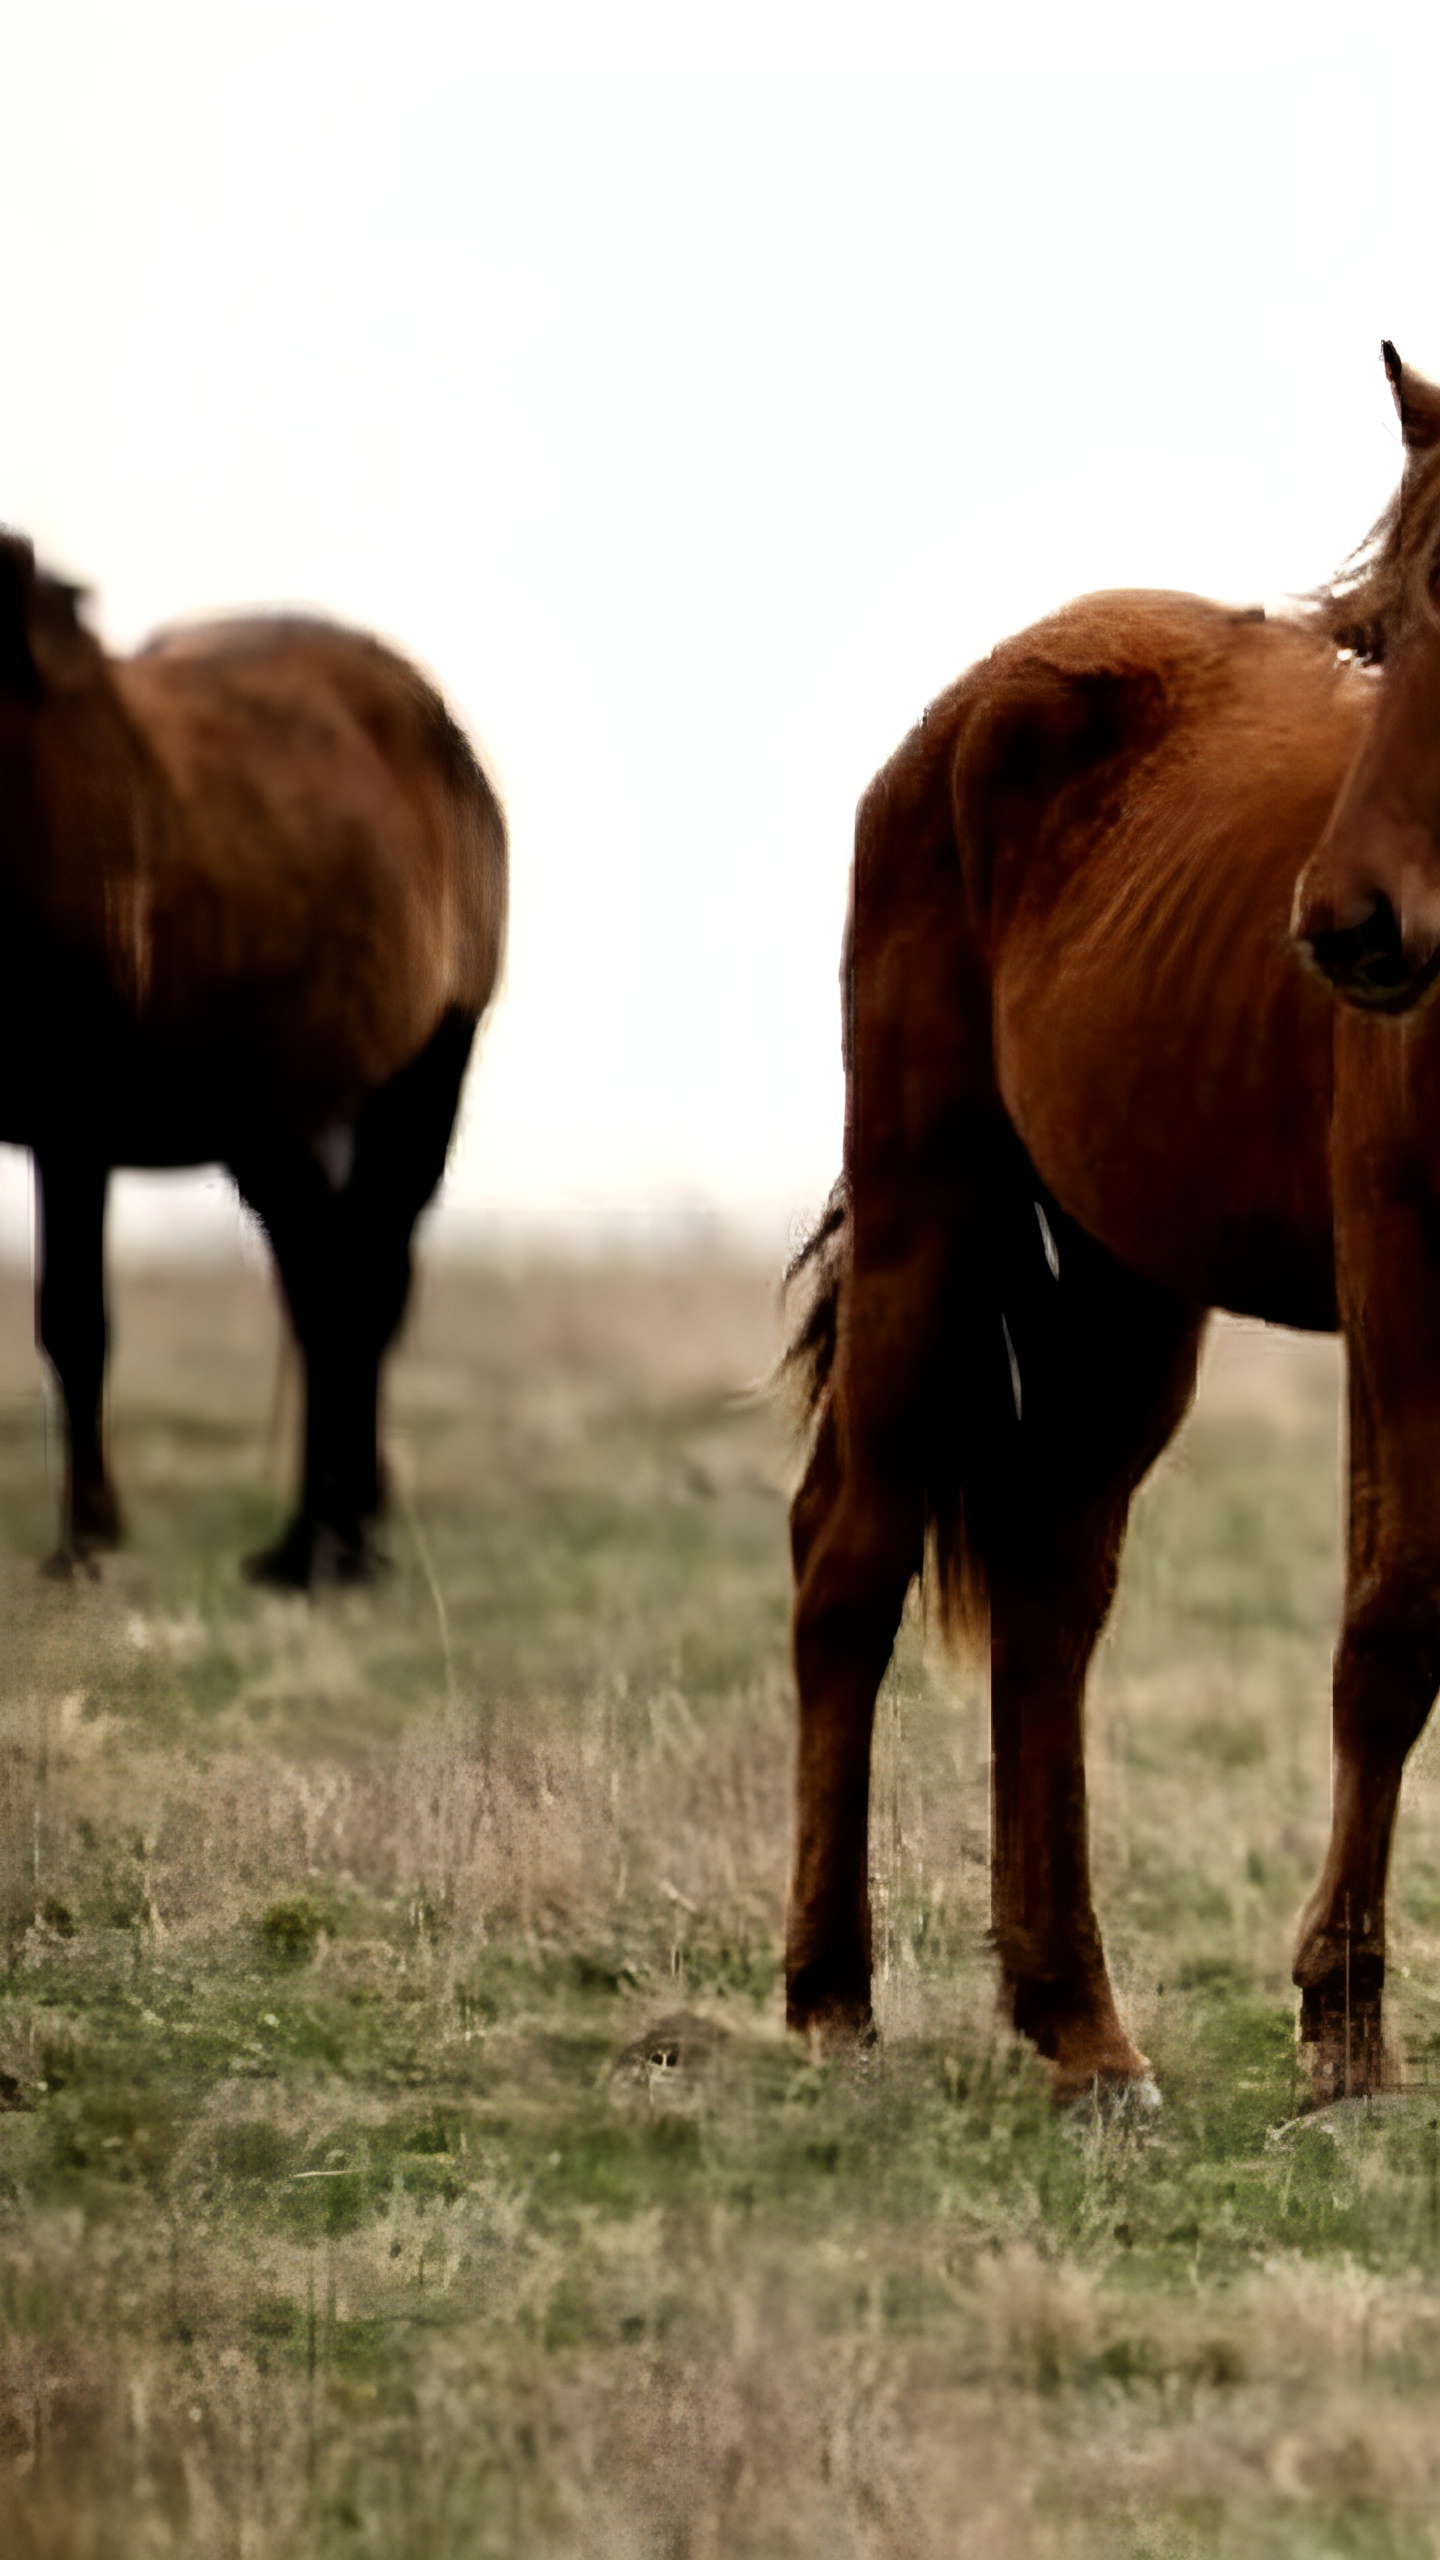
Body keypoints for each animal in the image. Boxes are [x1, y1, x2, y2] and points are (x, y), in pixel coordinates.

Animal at [0, 535, 504, 1576]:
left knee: (361, 1286)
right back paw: (328, 1533)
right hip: (276, 1125)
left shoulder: (79, 1123)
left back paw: (329, 1544)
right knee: (326, 1289)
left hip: (419, 1081)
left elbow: (75, 1319)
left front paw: (86, 1541)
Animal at [789, 340, 1440, 2099]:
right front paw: (1346, 2046)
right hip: (932, 1217)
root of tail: (981, 703)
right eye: (1382, 636)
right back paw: (832, 1996)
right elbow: (1391, 1635)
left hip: (1126, 1285)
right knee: (853, 1563)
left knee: (1049, 1590)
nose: (1347, 929)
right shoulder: (1401, 1297)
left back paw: (1077, 2021)